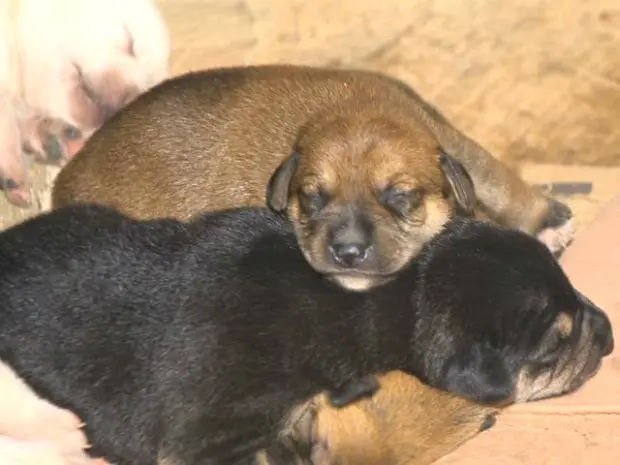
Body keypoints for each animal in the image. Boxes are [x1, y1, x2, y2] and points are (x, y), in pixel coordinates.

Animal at [52, 64, 572, 290]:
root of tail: (62, 182)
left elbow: (495, 178)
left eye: (400, 196)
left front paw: (546, 221)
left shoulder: (446, 137)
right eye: (312, 198)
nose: (348, 252)